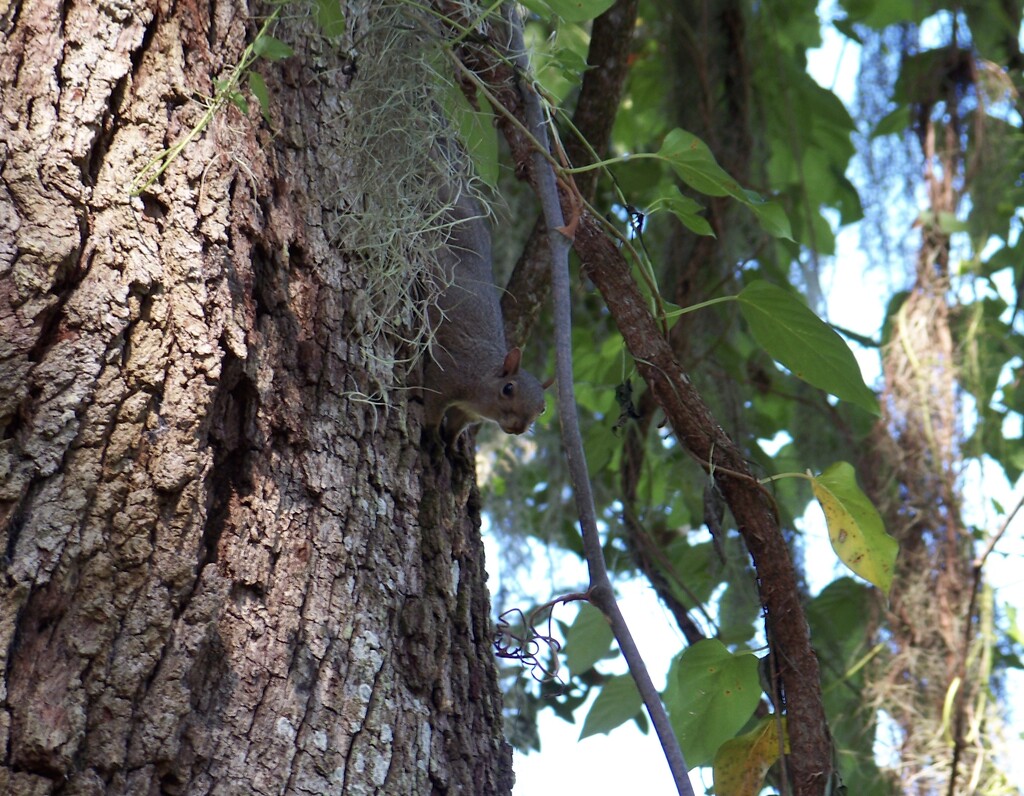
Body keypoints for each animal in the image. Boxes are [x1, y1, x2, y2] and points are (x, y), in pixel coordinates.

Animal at [423, 187, 548, 446]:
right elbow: (433, 402)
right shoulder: (450, 375)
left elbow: (455, 427)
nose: (519, 428)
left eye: (542, 409)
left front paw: (450, 447)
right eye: (508, 389)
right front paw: (433, 436)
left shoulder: (467, 414)